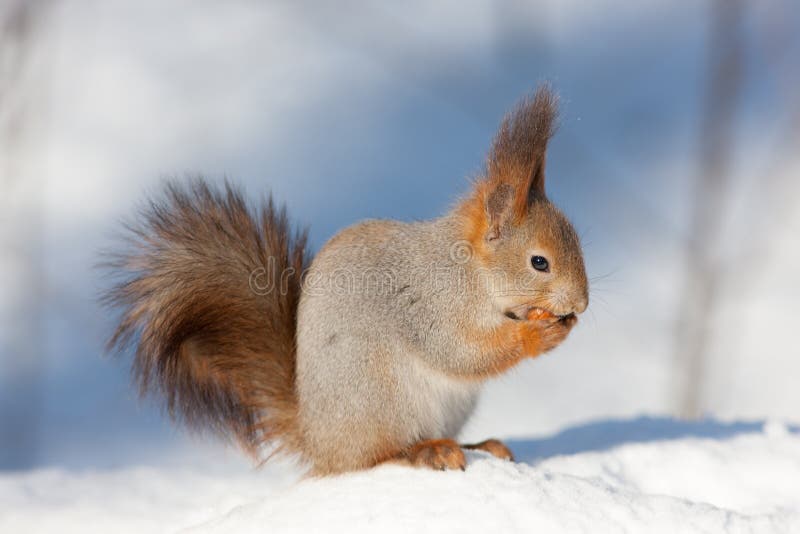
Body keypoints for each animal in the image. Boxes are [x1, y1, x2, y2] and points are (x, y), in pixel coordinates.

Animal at [104, 86, 588, 476]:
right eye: (539, 262)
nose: (581, 304)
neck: (469, 271)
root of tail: (318, 440)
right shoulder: (429, 303)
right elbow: (460, 352)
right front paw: (539, 334)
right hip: (379, 396)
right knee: (372, 457)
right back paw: (426, 452)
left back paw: (479, 444)